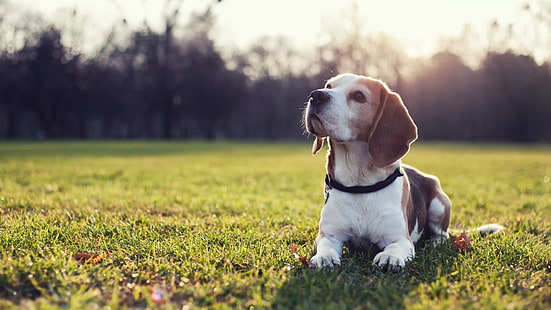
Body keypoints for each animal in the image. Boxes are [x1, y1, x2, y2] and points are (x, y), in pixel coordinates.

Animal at [304, 73, 502, 268]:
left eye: (359, 96)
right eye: (329, 86)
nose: (316, 95)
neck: (359, 183)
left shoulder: (401, 239)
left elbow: (395, 248)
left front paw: (389, 257)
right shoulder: (329, 235)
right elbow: (325, 245)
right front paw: (325, 257)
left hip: (439, 204)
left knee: (441, 234)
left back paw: (433, 243)